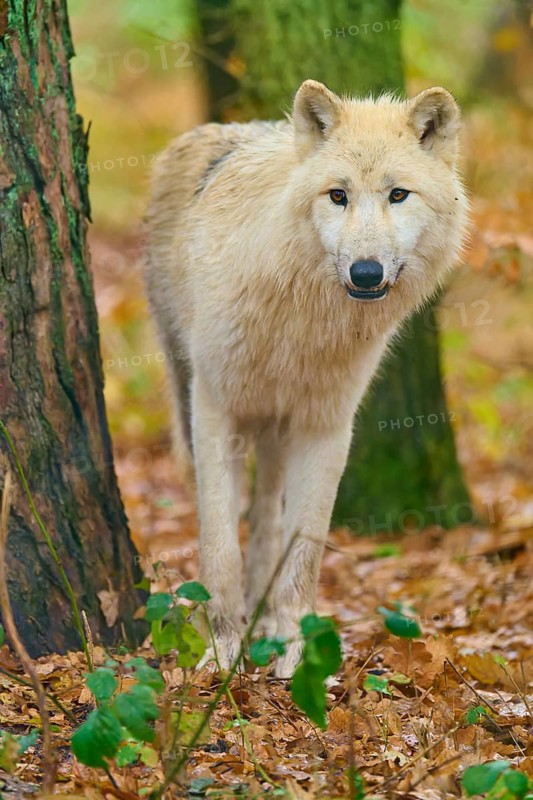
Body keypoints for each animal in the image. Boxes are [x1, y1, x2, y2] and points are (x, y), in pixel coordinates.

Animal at [143, 80, 468, 676]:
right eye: (337, 196)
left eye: (398, 195)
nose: (366, 271)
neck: (302, 316)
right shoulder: (214, 407)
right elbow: (218, 545)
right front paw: (219, 651)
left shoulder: (327, 425)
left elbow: (304, 554)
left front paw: (297, 653)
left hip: (278, 428)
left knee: (267, 517)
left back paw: (262, 617)